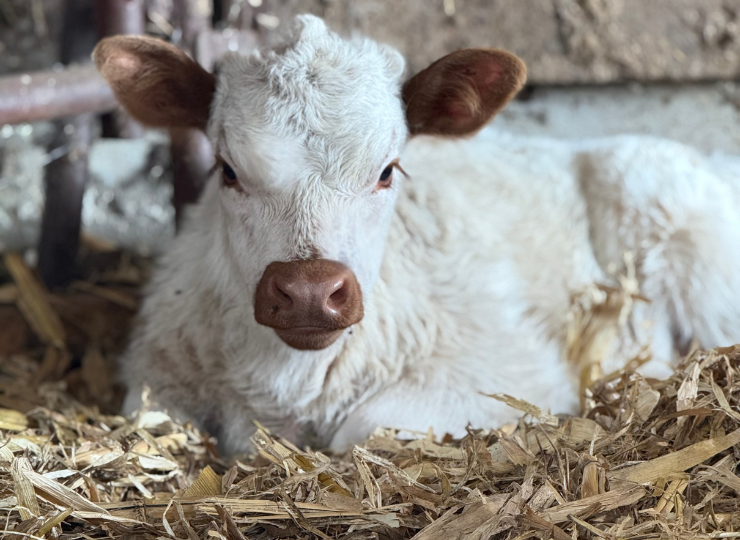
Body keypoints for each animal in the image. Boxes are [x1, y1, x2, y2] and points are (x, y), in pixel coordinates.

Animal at [93, 15, 740, 454]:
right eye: (227, 170)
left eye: (387, 170)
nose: (307, 291)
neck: (291, 382)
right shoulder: (155, 373)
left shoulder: (513, 372)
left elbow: (364, 426)